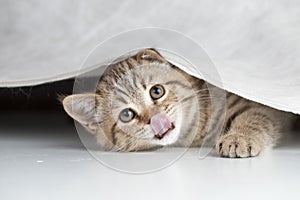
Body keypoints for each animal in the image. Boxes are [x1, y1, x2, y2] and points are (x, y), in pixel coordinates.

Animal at [62, 48, 294, 158]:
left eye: (156, 91)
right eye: (126, 115)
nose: (155, 119)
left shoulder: (250, 104)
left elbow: (253, 117)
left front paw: (238, 138)